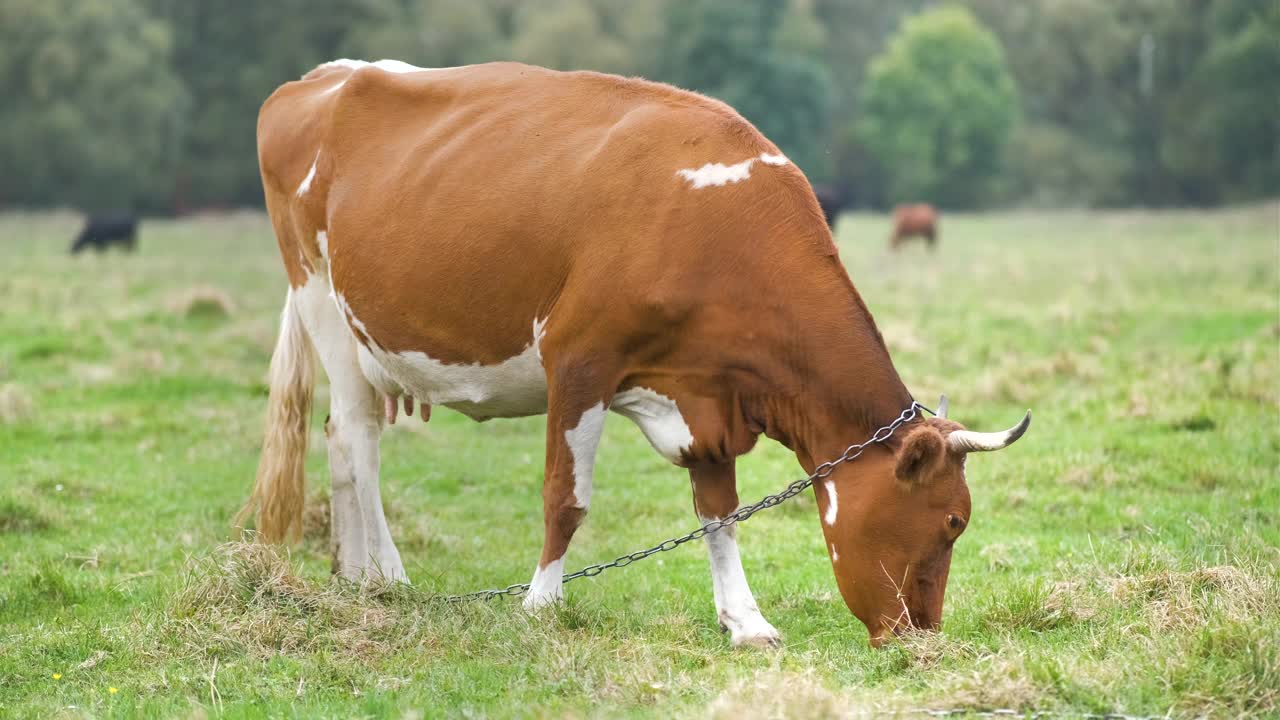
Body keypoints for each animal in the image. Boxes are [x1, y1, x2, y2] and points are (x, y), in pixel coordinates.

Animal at [241, 58, 1029, 648]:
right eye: (952, 521)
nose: (921, 635)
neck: (715, 230)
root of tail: (323, 78)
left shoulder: (710, 392)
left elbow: (720, 512)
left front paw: (745, 621)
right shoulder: (578, 361)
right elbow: (566, 499)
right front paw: (541, 604)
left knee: (340, 442)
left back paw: (353, 575)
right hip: (323, 302)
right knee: (358, 440)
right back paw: (390, 574)